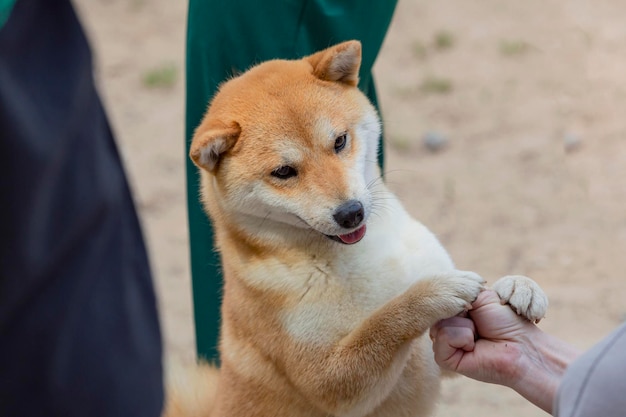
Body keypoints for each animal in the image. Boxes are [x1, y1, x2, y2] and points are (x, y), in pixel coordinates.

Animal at [166, 39, 544, 416]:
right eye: (284, 172)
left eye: (339, 141)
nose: (351, 213)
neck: (367, 255)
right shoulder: (329, 380)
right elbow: (383, 323)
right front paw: (432, 294)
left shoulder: (439, 356)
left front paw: (519, 287)